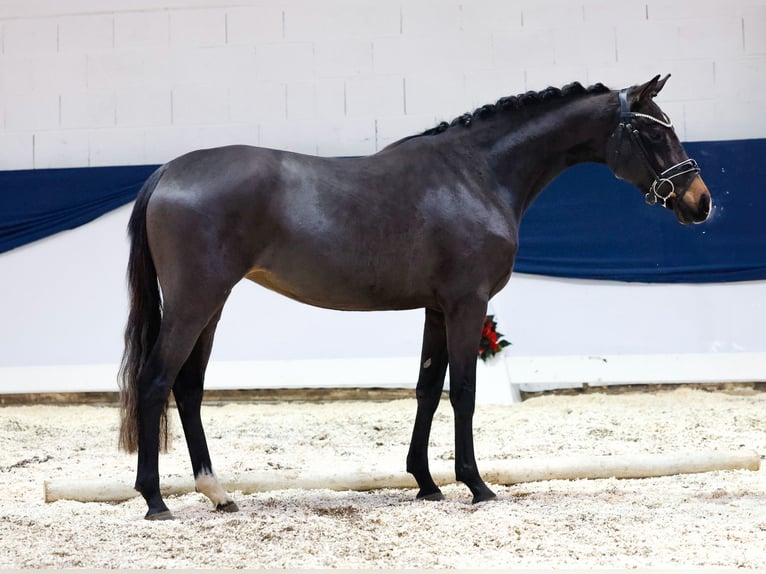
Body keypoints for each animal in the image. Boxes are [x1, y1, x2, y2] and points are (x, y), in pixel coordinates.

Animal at [118, 74, 712, 520]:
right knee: (155, 380)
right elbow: (464, 391)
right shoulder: (467, 304)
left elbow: (428, 388)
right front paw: (476, 485)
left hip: (211, 305)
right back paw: (154, 500)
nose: (699, 202)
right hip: (195, 302)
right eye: (654, 134)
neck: (477, 175)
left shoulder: (436, 308)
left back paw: (217, 492)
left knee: (188, 388)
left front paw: (427, 483)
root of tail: (169, 171)